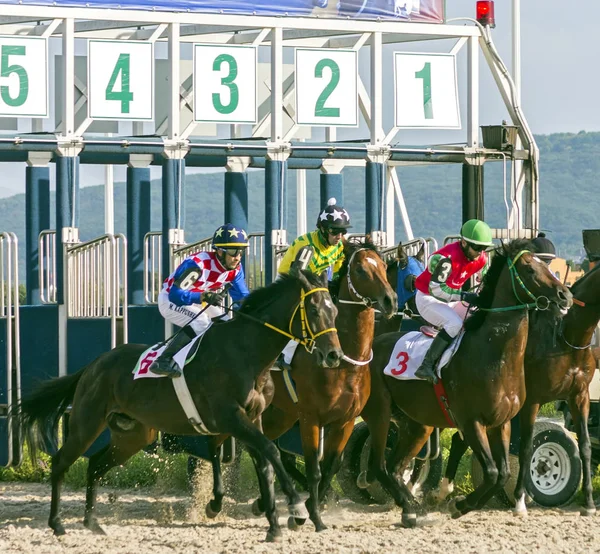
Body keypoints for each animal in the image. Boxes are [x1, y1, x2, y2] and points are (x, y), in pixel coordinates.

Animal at [17, 258, 342, 540]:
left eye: (334, 311)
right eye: (314, 311)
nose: (334, 356)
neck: (247, 353)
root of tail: (92, 366)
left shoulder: (253, 418)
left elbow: (266, 465)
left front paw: (274, 525)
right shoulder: (230, 418)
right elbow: (271, 453)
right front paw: (297, 508)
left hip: (133, 434)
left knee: (95, 464)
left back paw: (92, 522)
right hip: (87, 422)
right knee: (61, 462)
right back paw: (58, 524)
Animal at [244, 238, 398, 532]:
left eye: (384, 266)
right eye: (360, 270)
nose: (391, 300)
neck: (344, 362)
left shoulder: (345, 420)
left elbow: (331, 467)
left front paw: (315, 505)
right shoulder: (310, 417)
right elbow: (314, 468)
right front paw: (310, 515)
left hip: (279, 415)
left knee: (269, 449)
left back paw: (264, 501)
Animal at [356, 239, 572, 524]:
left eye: (544, 264)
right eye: (529, 269)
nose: (565, 295)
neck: (494, 355)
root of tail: (368, 352)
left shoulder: (501, 423)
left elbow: (502, 473)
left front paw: (461, 503)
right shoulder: (470, 421)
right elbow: (491, 472)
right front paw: (459, 504)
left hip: (416, 424)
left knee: (394, 467)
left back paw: (410, 506)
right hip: (380, 414)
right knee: (379, 465)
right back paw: (408, 506)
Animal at [414, 262, 600, 512]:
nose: (564, 296)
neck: (567, 335)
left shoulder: (579, 395)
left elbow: (586, 446)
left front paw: (588, 501)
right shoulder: (532, 399)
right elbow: (526, 447)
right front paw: (520, 499)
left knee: (455, 440)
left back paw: (439, 489)